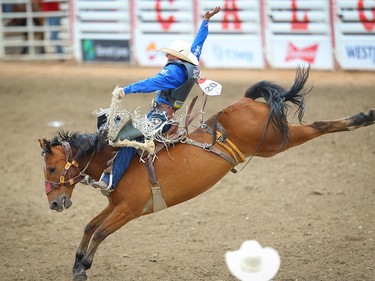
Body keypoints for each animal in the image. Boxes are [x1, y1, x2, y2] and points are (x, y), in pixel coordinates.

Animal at [39, 66, 375, 278]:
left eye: (52, 167)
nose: (55, 203)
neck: (118, 158)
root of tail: (244, 102)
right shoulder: (115, 205)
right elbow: (89, 226)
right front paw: (78, 263)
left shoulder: (130, 209)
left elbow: (99, 231)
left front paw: (83, 266)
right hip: (274, 143)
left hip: (278, 140)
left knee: (319, 126)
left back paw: (363, 117)